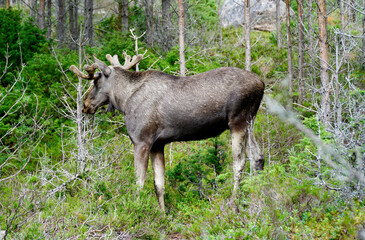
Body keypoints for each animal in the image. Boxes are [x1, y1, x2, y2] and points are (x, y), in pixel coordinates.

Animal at [69, 53, 264, 210]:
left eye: (96, 81)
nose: (85, 104)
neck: (124, 101)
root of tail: (261, 83)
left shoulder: (142, 141)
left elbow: (139, 183)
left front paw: (136, 209)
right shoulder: (158, 144)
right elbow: (159, 185)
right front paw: (163, 214)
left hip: (237, 121)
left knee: (239, 163)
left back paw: (234, 200)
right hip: (250, 122)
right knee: (258, 157)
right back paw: (257, 196)